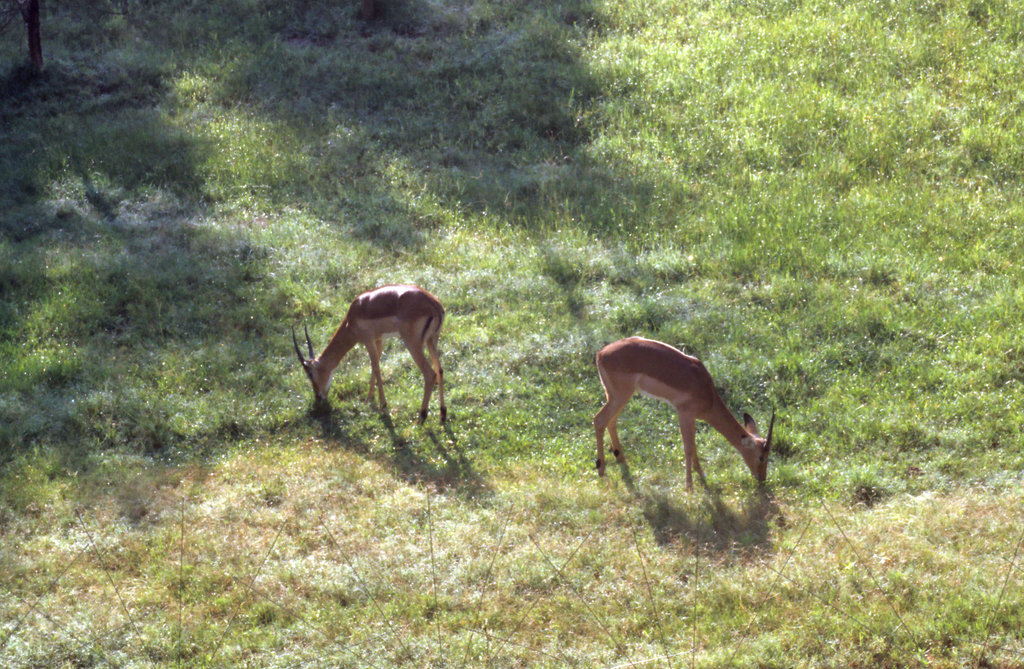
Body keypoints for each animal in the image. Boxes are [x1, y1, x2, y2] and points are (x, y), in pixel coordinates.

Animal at [290, 282, 446, 420]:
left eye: (310, 374)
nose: (318, 397)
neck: (352, 318)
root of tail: (434, 305)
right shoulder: (379, 340)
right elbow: (374, 366)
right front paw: (369, 398)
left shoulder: (368, 340)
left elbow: (376, 368)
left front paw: (382, 404)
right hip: (432, 341)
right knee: (439, 369)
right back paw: (442, 415)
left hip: (413, 344)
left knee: (430, 374)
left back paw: (422, 416)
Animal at [593, 336, 774, 487]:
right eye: (761, 457)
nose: (762, 479)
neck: (708, 394)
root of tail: (601, 353)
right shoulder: (683, 414)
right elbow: (688, 448)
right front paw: (689, 487)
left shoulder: (691, 417)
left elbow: (693, 444)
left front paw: (701, 475)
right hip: (620, 396)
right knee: (599, 419)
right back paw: (601, 470)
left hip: (617, 396)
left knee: (611, 420)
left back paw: (621, 459)